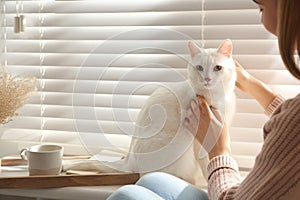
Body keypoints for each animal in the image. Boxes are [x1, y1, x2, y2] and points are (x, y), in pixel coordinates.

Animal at [63, 39, 237, 189]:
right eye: (200, 68)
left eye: (217, 68)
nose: (207, 79)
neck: (217, 98)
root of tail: (129, 161)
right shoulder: (200, 142)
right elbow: (207, 163)